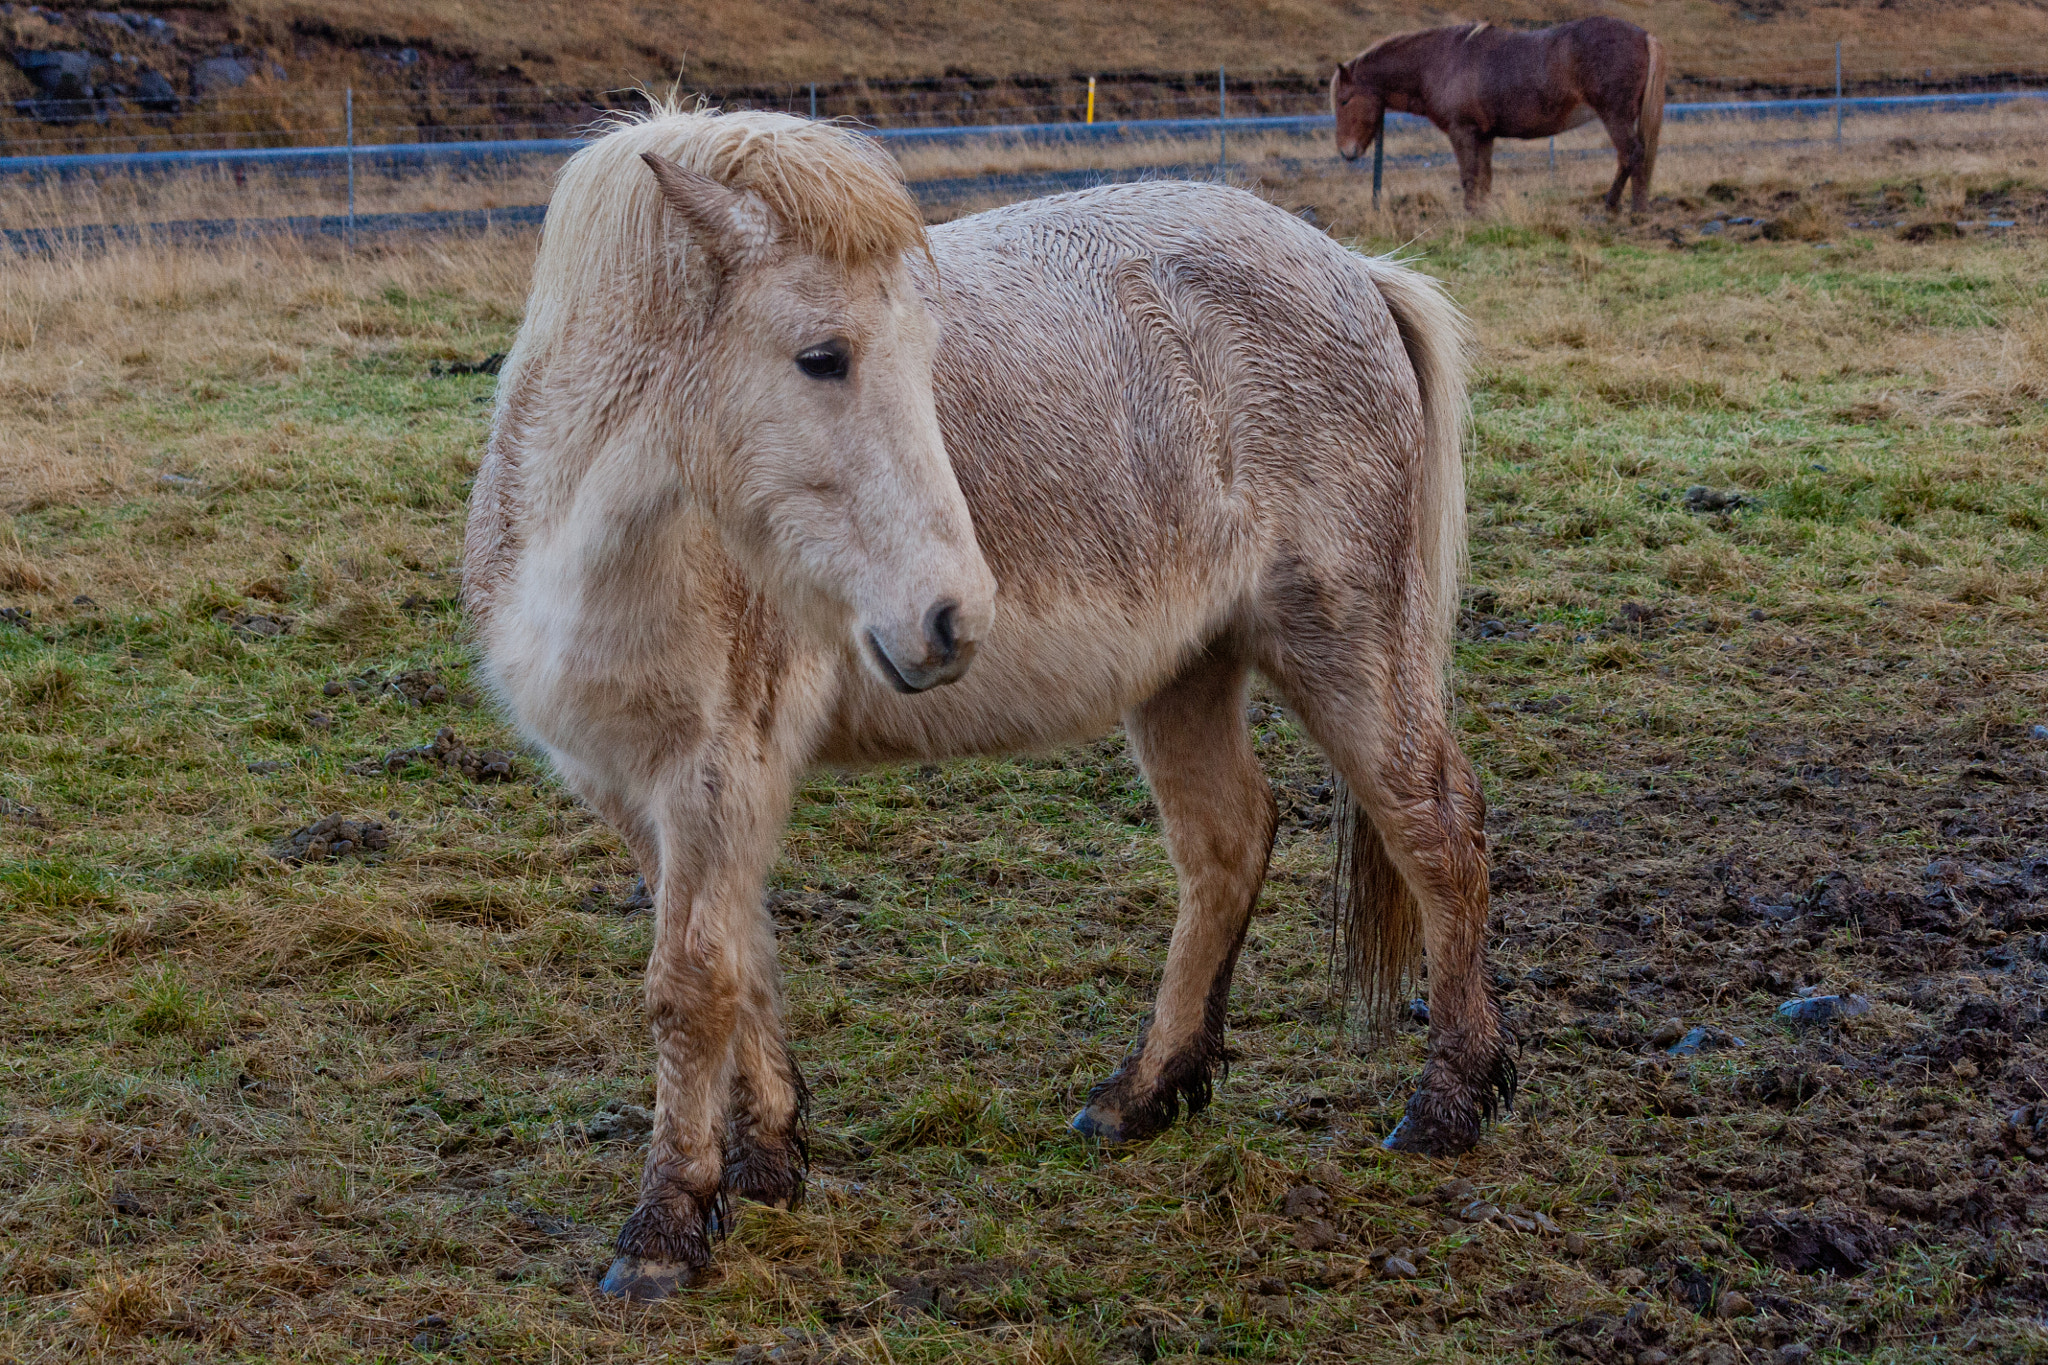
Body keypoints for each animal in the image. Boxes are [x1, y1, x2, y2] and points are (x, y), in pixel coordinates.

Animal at [464, 103, 1515, 1302]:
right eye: (820, 359)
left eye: (927, 359)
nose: (954, 617)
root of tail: (1355, 270)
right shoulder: (637, 786)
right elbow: (742, 963)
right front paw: (767, 1163)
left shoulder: (717, 773)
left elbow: (692, 985)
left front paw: (664, 1230)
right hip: (1186, 672)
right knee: (1228, 843)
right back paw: (1146, 1093)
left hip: (1345, 646)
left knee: (1437, 830)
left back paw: (1446, 1104)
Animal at [1332, 17, 1667, 214]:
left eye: (1345, 100)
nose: (1346, 152)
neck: (1439, 62)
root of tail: (1644, 35)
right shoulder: (1484, 136)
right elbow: (1485, 176)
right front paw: (1484, 213)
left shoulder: (1463, 131)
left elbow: (1469, 175)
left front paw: (1470, 214)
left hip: (1615, 116)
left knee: (1632, 154)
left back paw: (1627, 209)